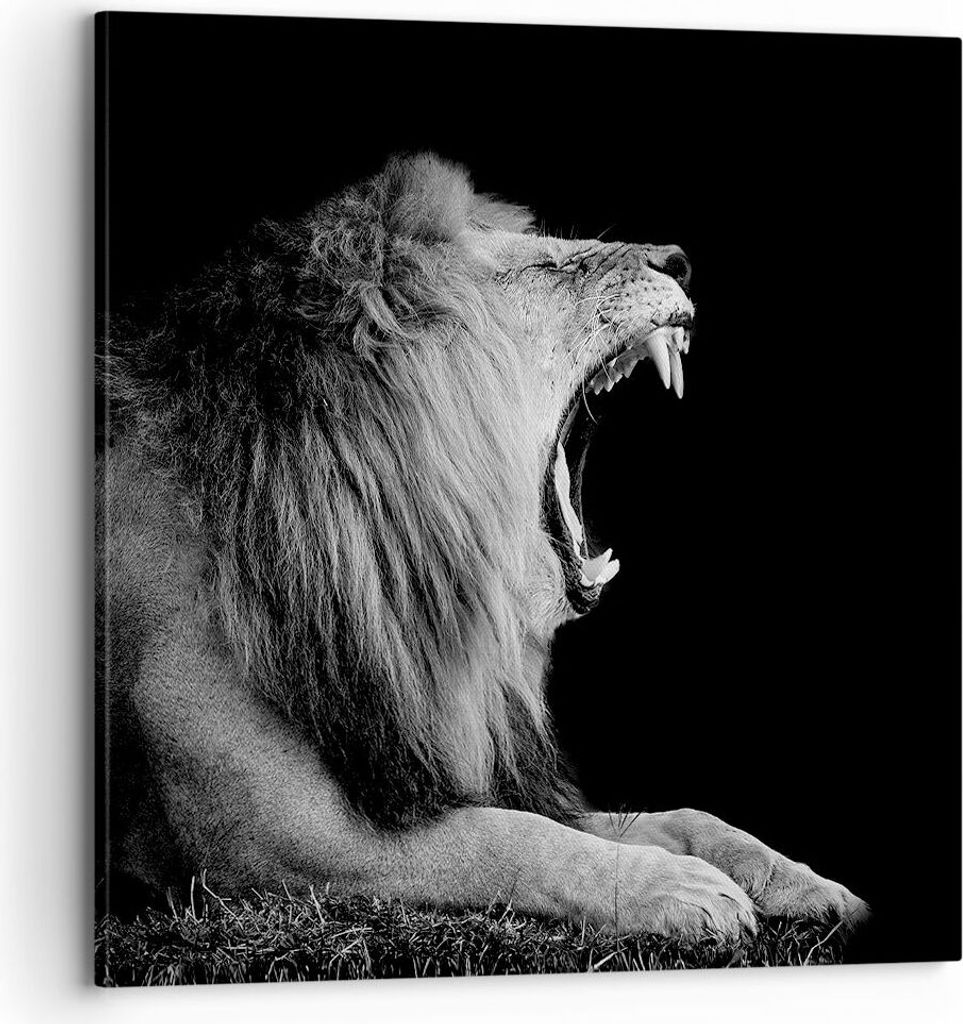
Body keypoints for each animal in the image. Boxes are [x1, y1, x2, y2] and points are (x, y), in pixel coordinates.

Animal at [96, 152, 867, 942]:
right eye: (543, 265)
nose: (680, 261)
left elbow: (678, 816)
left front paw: (800, 880)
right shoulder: (272, 843)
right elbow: (508, 840)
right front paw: (682, 888)